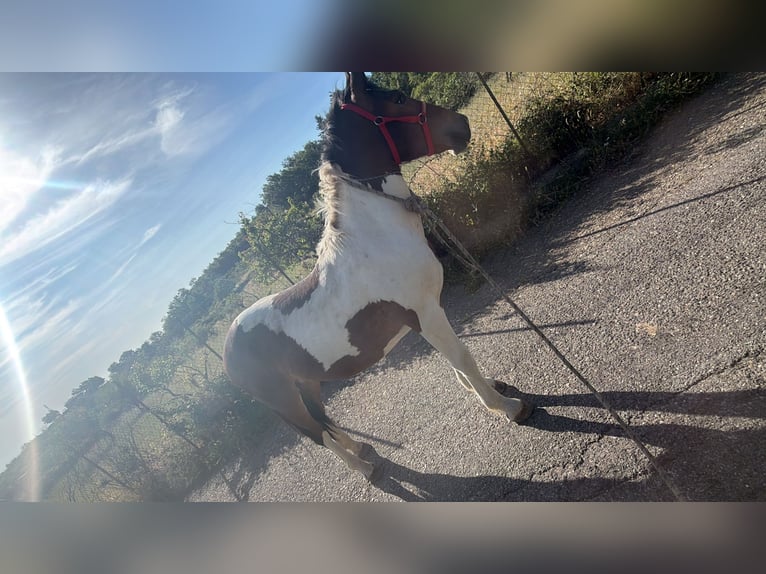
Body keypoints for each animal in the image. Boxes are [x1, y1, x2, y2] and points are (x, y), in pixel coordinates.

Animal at [223, 72, 533, 481]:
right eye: (398, 98)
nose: (462, 124)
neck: (377, 235)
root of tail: (229, 349)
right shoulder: (425, 314)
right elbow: (462, 357)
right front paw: (508, 407)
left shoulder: (431, 312)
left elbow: (457, 361)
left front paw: (487, 389)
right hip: (285, 399)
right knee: (316, 434)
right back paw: (364, 468)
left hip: (306, 381)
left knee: (326, 423)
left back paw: (362, 449)